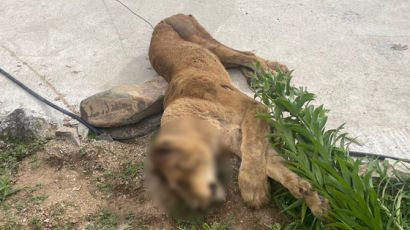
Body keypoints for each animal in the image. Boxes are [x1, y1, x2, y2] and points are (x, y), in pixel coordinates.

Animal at [147, 13, 326, 217]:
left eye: (184, 176)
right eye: (177, 187)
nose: (199, 206)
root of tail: (165, 19)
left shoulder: (255, 108)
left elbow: (253, 151)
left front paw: (253, 189)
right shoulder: (237, 137)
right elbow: (274, 166)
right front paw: (312, 197)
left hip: (204, 41)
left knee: (247, 55)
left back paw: (271, 74)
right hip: (216, 55)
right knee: (244, 57)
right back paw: (261, 76)